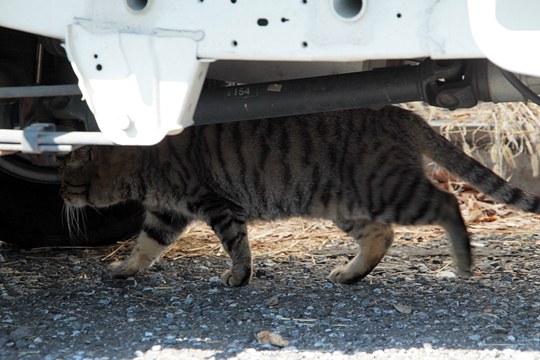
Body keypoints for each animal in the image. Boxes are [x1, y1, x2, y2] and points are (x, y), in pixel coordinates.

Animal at [59, 105, 540, 286]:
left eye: (66, 177)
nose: (59, 193)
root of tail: (399, 110)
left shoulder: (216, 205)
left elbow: (237, 246)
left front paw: (239, 277)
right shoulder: (166, 214)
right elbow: (144, 246)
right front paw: (124, 268)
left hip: (389, 189)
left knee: (448, 204)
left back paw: (462, 263)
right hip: (347, 203)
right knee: (381, 236)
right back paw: (350, 274)